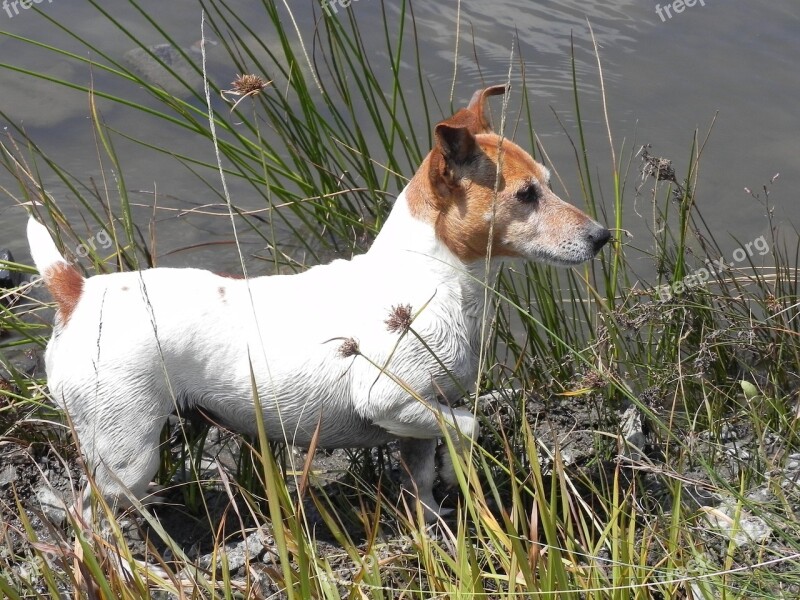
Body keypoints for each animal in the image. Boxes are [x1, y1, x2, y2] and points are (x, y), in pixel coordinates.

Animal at [28, 84, 608, 520]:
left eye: (546, 184)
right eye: (526, 195)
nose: (602, 237)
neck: (434, 276)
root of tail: (77, 291)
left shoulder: (420, 422)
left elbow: (422, 480)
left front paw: (435, 519)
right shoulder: (390, 400)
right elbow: (466, 426)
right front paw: (457, 471)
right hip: (127, 457)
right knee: (89, 523)